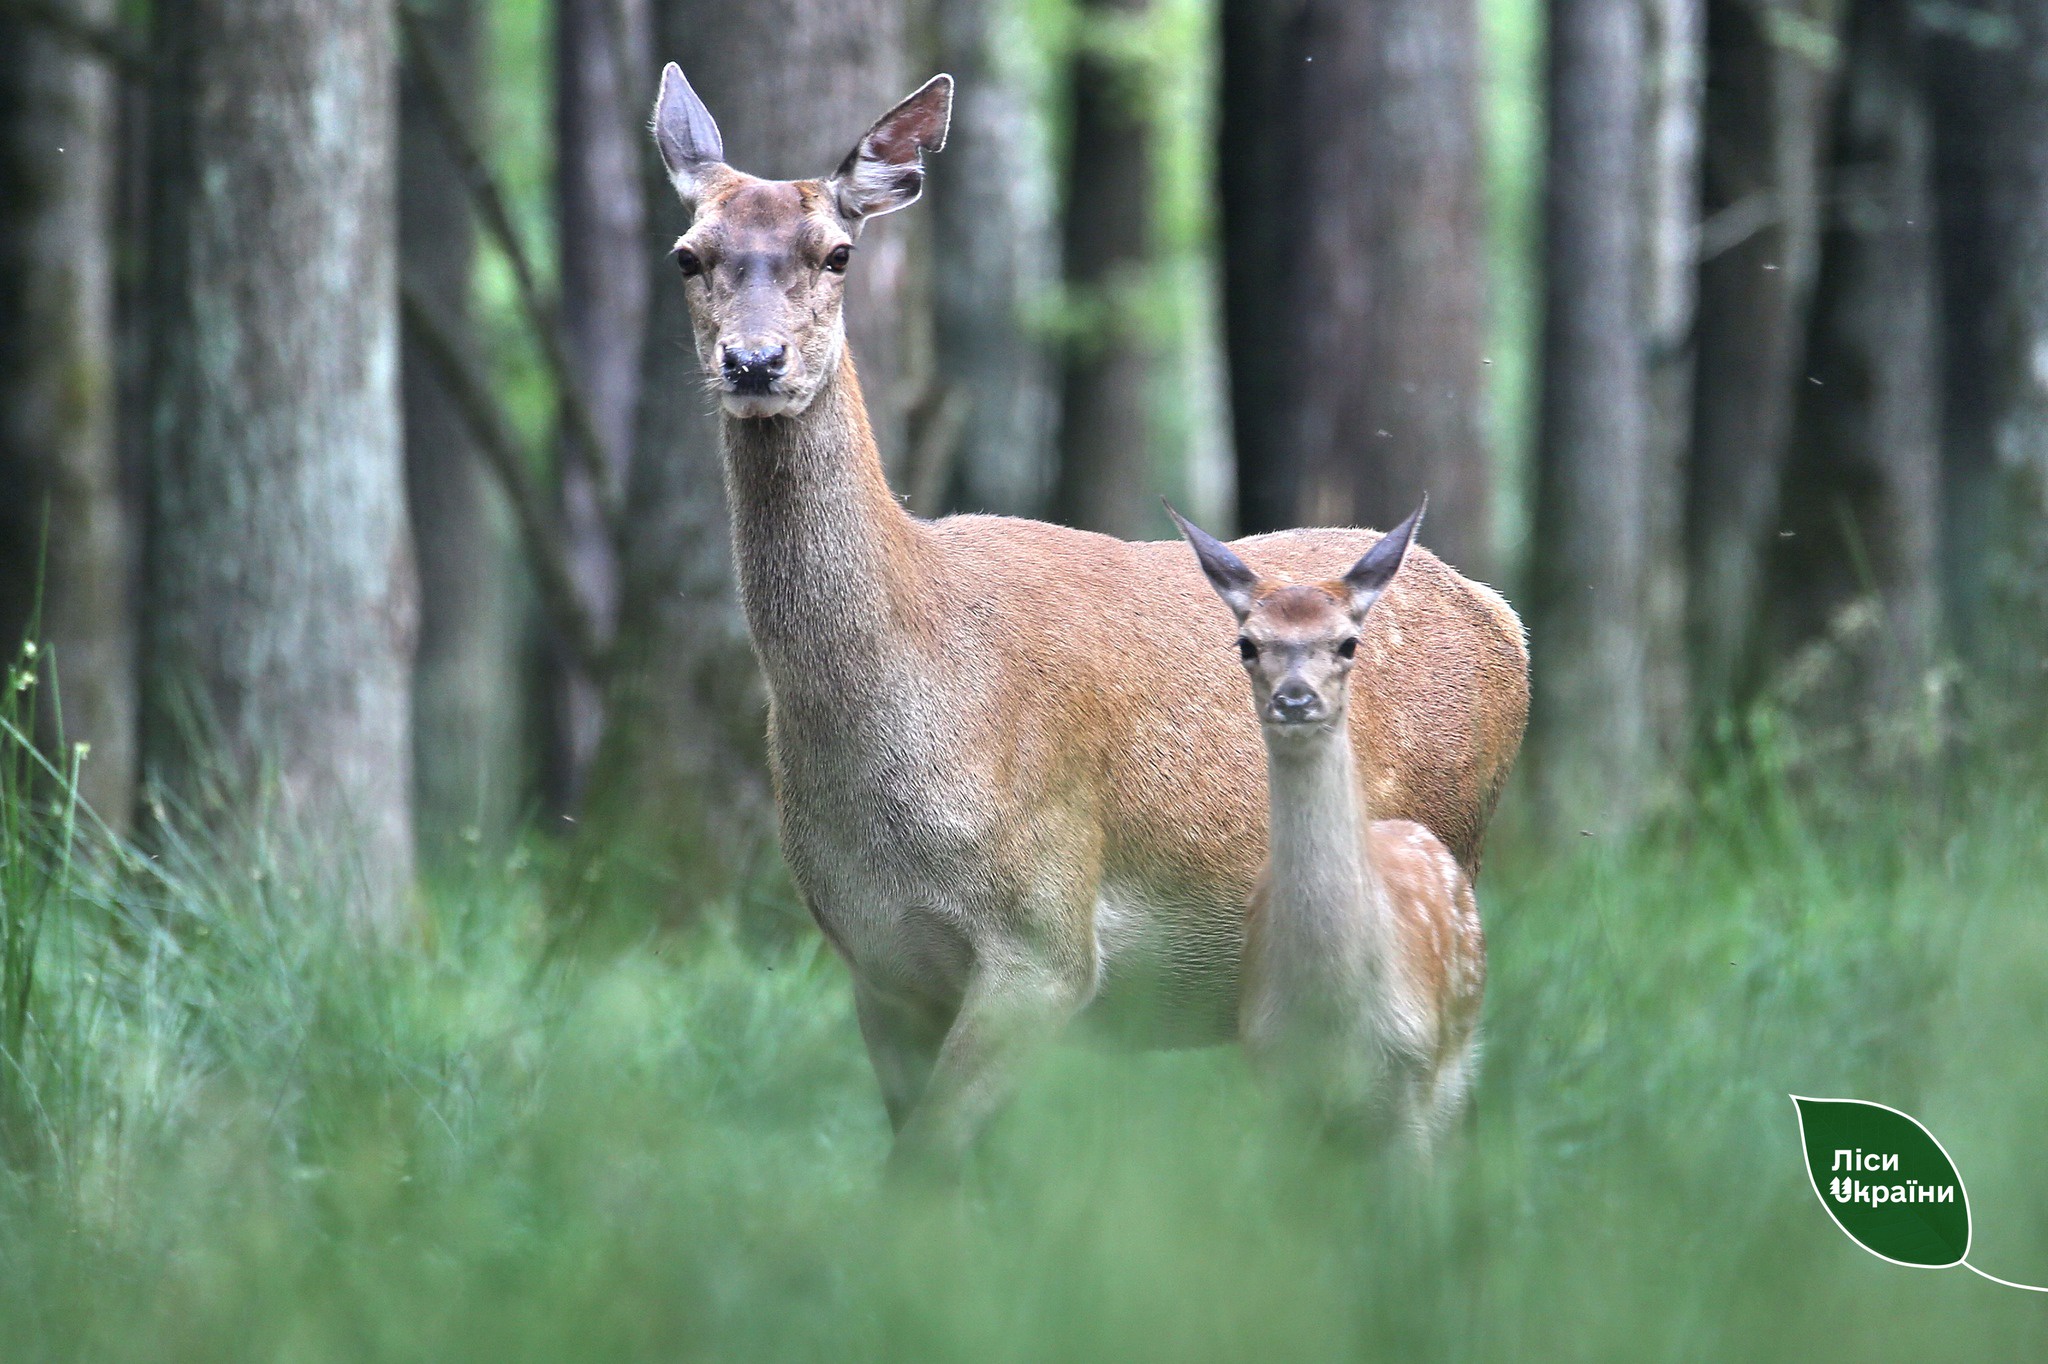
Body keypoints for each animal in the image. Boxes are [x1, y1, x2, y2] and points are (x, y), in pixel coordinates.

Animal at [1179, 493, 1482, 1138]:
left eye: (1348, 643)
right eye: (1246, 643)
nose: (1294, 698)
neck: (1332, 1016)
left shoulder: (1413, 1074)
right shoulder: (1272, 1072)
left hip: (1453, 1071)